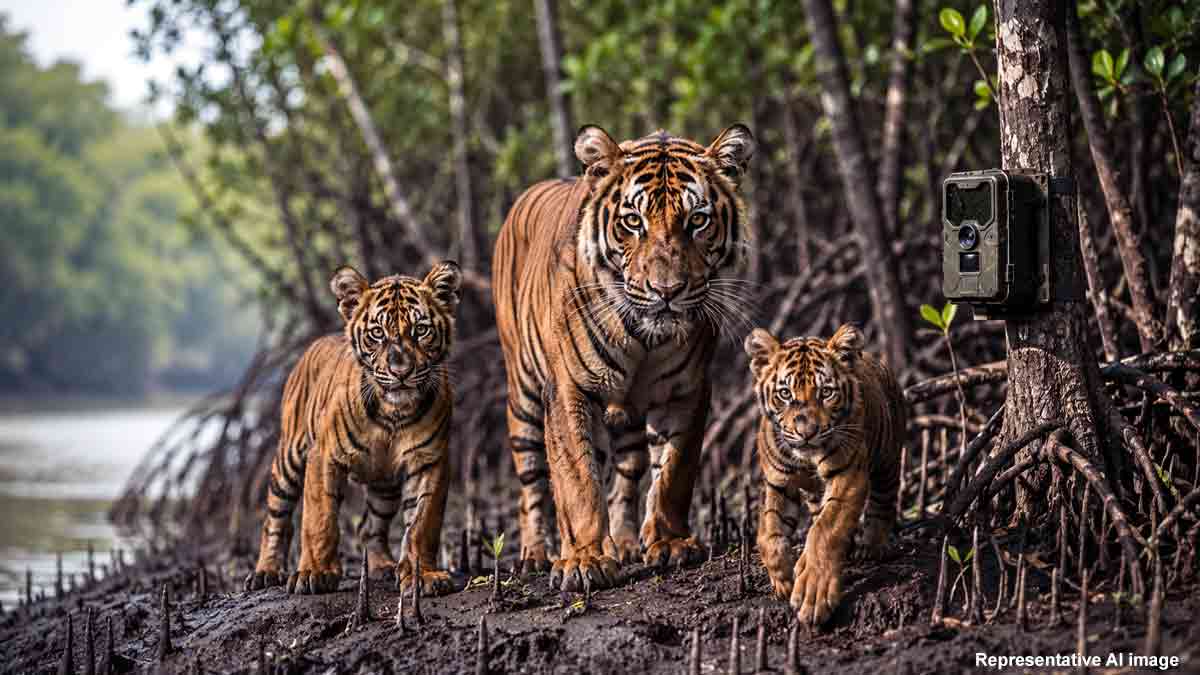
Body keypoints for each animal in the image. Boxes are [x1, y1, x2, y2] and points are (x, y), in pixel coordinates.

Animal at [244, 261, 462, 596]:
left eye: (420, 330)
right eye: (377, 333)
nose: (400, 371)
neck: (392, 414)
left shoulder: (431, 460)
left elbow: (423, 523)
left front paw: (423, 576)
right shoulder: (323, 456)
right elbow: (320, 518)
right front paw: (315, 573)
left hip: (384, 484)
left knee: (369, 528)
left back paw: (383, 566)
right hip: (288, 460)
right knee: (276, 520)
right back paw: (266, 572)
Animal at [493, 124, 756, 591]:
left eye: (698, 220)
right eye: (633, 222)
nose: (666, 291)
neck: (645, 340)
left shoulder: (687, 391)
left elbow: (673, 471)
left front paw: (669, 544)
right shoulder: (569, 390)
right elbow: (576, 479)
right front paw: (584, 560)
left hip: (627, 412)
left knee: (628, 469)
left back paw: (626, 543)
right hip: (522, 395)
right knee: (533, 482)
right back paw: (535, 556)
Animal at [744, 323, 907, 625]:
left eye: (826, 392)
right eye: (785, 394)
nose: (806, 432)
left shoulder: (848, 476)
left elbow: (825, 530)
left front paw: (813, 592)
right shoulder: (778, 483)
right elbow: (769, 533)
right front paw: (783, 579)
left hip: (888, 459)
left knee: (883, 502)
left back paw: (871, 546)